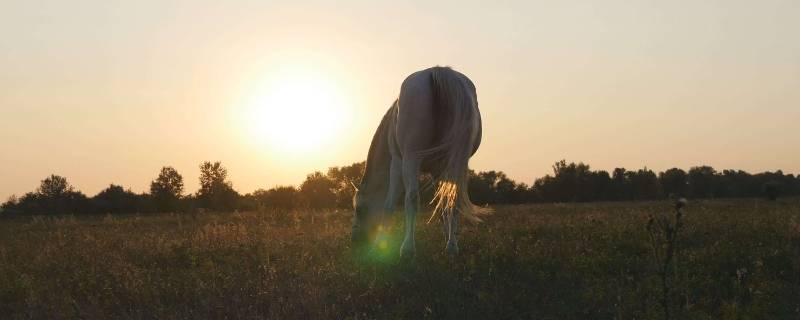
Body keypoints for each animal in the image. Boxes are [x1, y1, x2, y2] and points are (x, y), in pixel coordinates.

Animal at [350, 65, 488, 258]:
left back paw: (407, 248)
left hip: (411, 159)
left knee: (412, 198)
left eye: (359, 209)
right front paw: (448, 236)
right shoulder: (437, 170)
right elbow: (442, 204)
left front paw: (379, 244)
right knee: (454, 200)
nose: (355, 240)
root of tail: (437, 71)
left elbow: (389, 204)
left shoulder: (397, 164)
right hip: (457, 162)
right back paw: (451, 247)